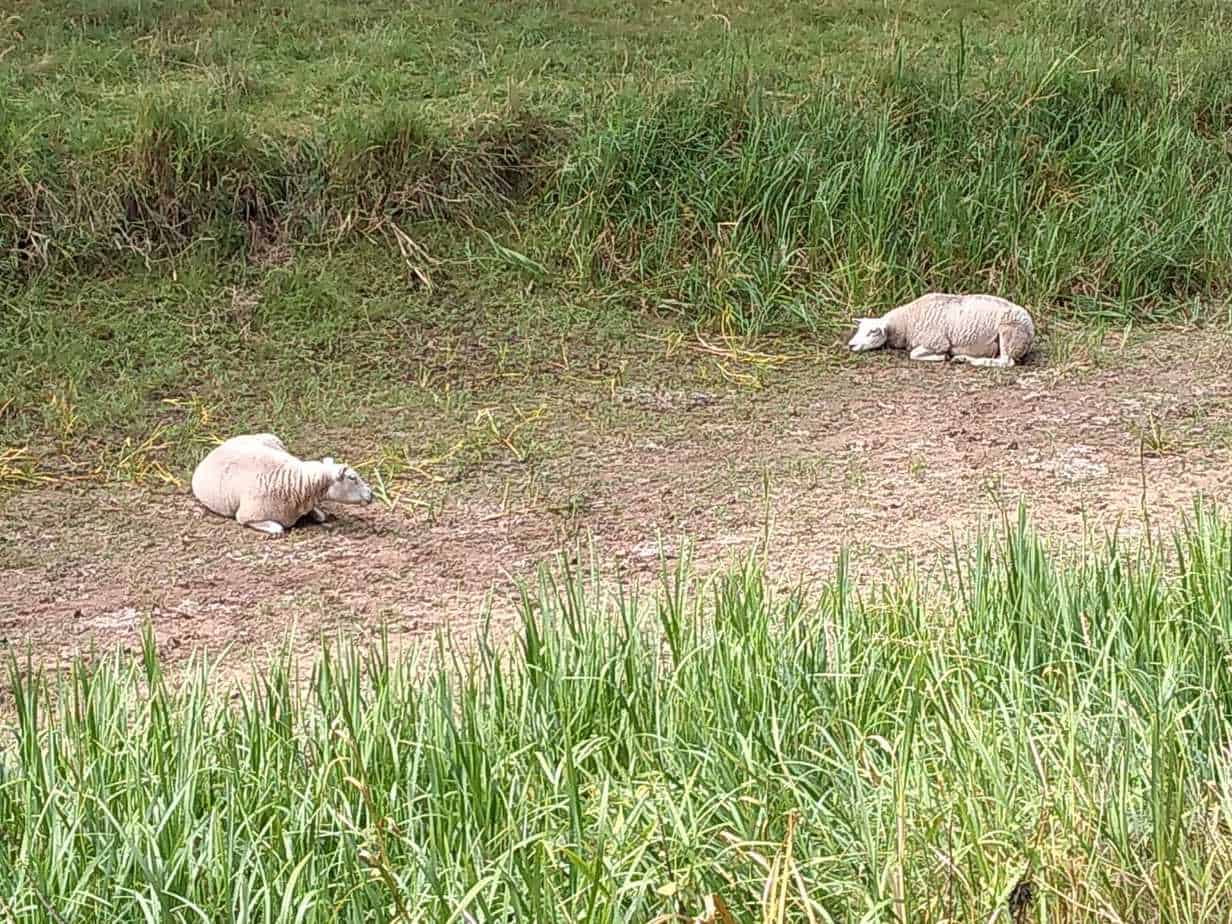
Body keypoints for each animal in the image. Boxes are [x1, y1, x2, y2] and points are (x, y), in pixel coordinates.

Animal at [847, 294, 1029, 372]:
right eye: (860, 329)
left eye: (873, 331)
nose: (851, 345)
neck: (905, 323)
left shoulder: (937, 342)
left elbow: (913, 354)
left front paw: (942, 357)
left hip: (1010, 333)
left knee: (1006, 362)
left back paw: (967, 360)